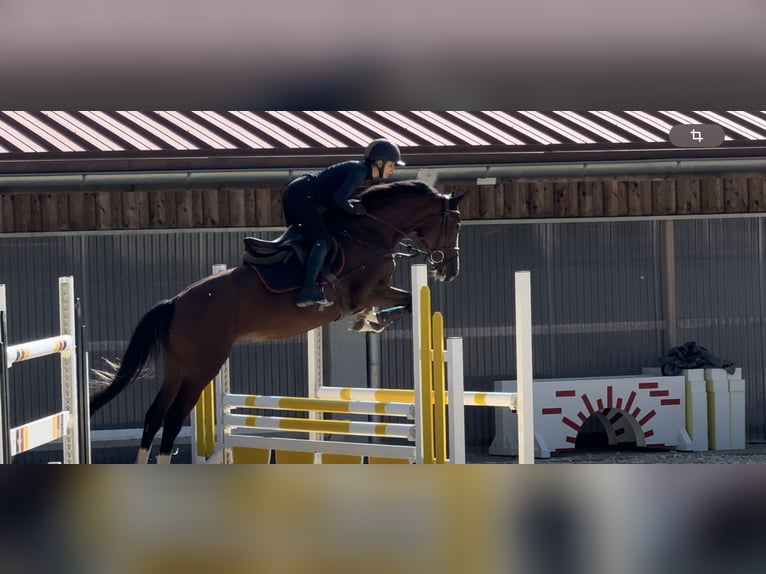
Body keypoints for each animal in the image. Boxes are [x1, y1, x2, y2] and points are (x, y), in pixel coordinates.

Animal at [87, 182, 464, 466]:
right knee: (173, 416)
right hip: (203, 366)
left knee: (154, 414)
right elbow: (409, 300)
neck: (368, 232)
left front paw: (368, 322)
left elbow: (405, 302)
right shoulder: (368, 290)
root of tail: (175, 302)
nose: (449, 270)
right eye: (457, 224)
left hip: (177, 367)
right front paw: (371, 322)